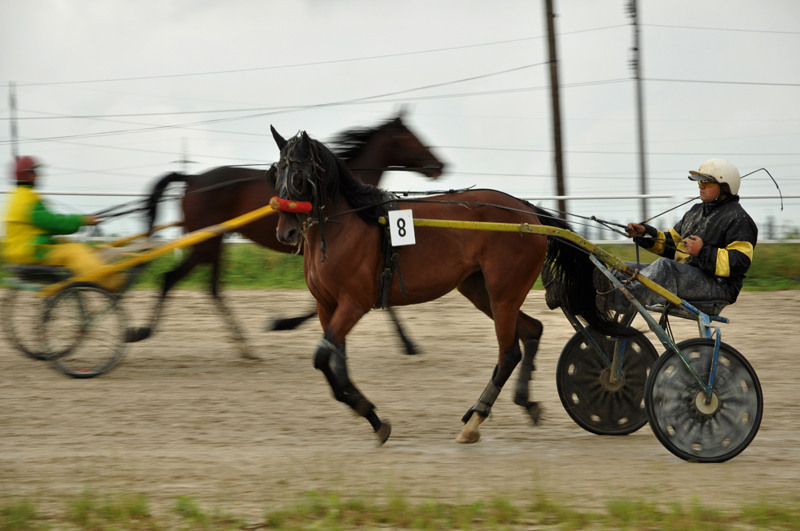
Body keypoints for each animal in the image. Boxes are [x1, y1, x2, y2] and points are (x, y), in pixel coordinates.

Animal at [136, 113, 445, 359]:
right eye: (411, 137)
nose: (440, 165)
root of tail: (192, 179)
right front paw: (408, 343)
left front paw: (285, 322)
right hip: (206, 244)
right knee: (178, 280)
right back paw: (147, 331)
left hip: (210, 243)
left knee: (198, 285)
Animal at [268, 127, 632, 444]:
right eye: (275, 173)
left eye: (298, 177)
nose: (285, 232)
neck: (348, 223)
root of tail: (527, 212)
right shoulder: (327, 306)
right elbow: (334, 365)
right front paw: (371, 415)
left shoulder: (354, 303)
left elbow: (322, 359)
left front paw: (371, 414)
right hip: (480, 290)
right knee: (532, 330)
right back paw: (521, 402)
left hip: (503, 293)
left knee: (509, 352)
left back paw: (476, 419)